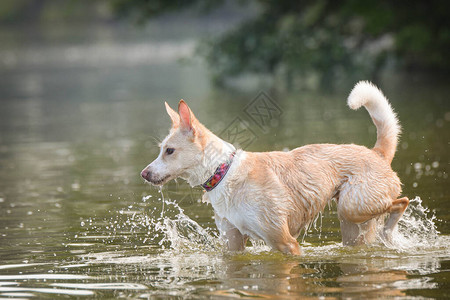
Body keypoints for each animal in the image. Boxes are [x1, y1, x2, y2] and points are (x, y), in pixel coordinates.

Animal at [140, 81, 408, 254]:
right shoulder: (232, 244)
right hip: (352, 225)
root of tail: (377, 153)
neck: (223, 171)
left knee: (400, 203)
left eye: (169, 151)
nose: (144, 174)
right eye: (161, 149)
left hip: (352, 206)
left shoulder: (285, 242)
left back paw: (389, 233)